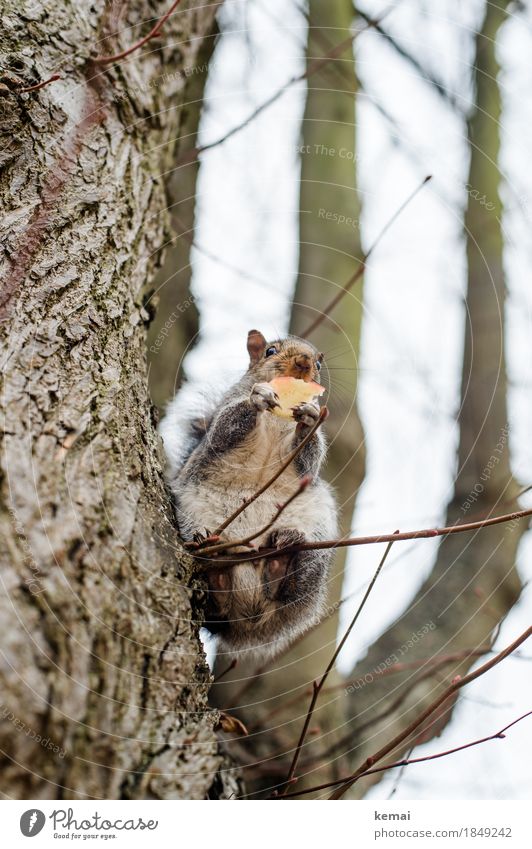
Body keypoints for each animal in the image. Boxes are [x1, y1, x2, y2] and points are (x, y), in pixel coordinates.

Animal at [160, 328, 338, 660]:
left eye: (319, 363)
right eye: (270, 351)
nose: (304, 362)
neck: (278, 418)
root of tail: (251, 618)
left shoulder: (305, 462)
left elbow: (311, 456)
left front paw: (308, 416)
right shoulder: (222, 424)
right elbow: (224, 428)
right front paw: (258, 397)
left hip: (317, 545)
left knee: (291, 590)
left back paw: (284, 555)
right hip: (192, 516)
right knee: (217, 608)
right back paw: (215, 563)